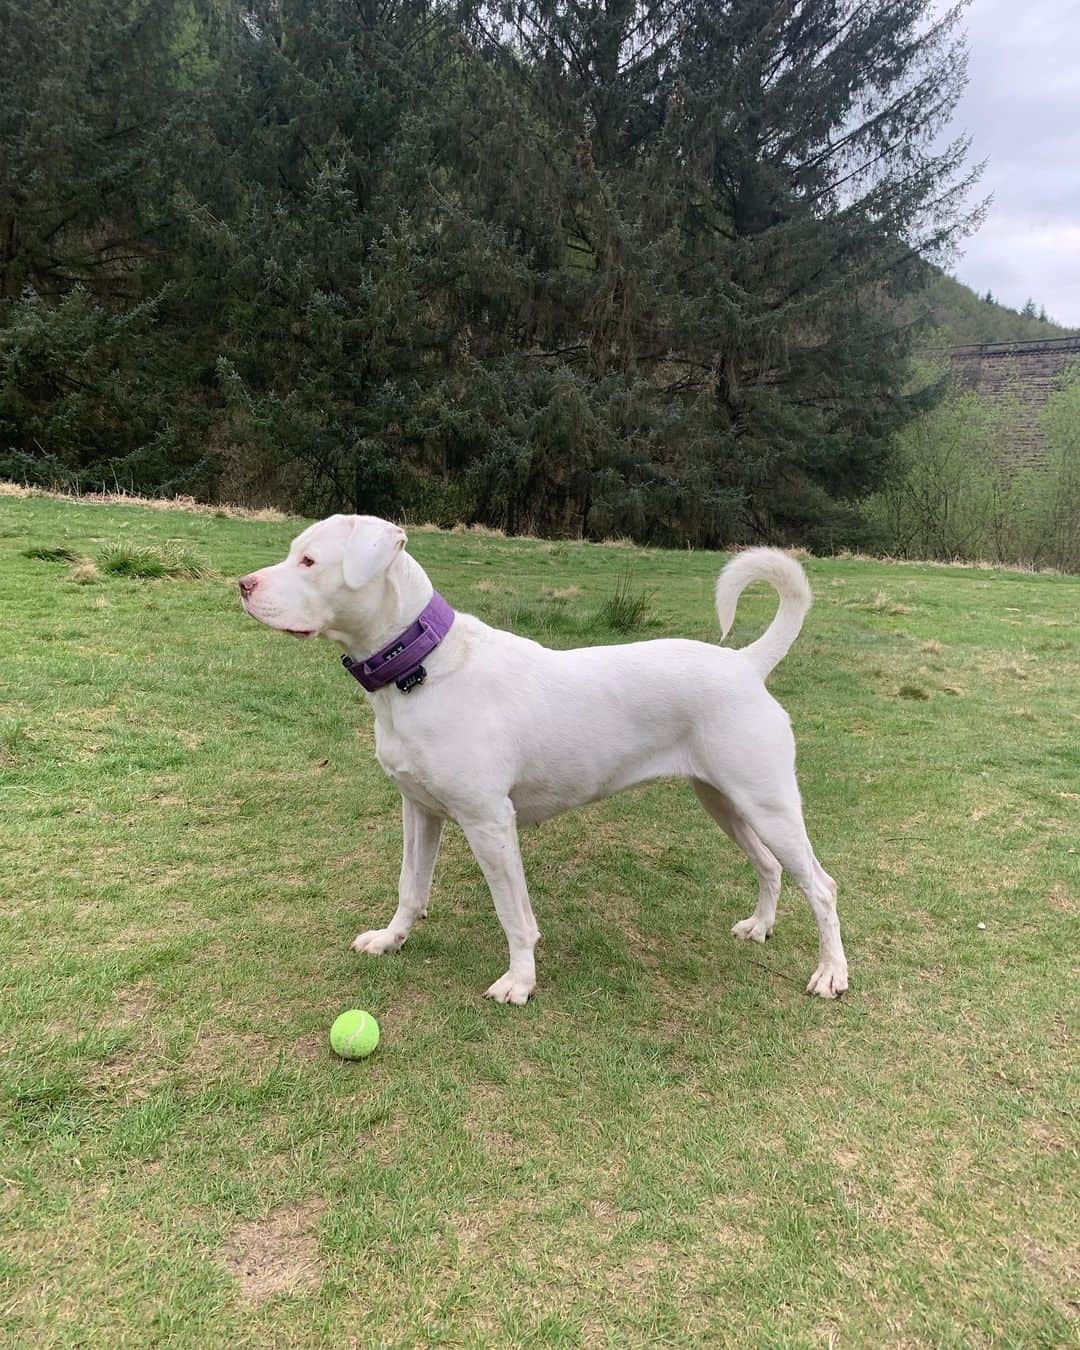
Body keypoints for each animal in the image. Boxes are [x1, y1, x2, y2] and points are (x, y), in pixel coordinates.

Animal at [240, 513, 847, 1004]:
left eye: (309, 561)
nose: (242, 586)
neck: (421, 669)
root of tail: (746, 663)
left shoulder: (489, 824)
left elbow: (515, 917)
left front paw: (520, 982)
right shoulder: (421, 811)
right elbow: (411, 887)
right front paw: (392, 939)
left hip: (769, 806)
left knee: (821, 886)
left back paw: (831, 975)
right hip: (725, 803)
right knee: (770, 866)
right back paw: (760, 927)